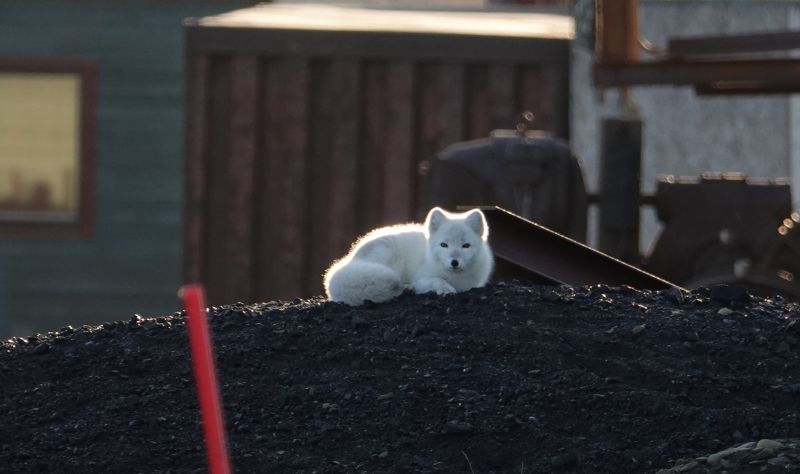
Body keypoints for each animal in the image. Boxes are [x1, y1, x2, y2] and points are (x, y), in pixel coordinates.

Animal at [323, 207, 494, 305]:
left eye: (466, 246)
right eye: (444, 245)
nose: (454, 262)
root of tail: (350, 260)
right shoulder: (421, 277)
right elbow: (435, 280)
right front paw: (445, 289)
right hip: (388, 254)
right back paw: (406, 288)